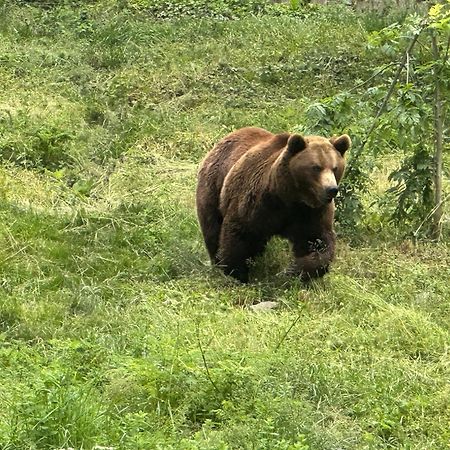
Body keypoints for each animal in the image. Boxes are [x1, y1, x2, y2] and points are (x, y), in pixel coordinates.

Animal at [195, 126, 350, 282]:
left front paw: (292, 271)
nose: (331, 189)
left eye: (335, 167)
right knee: (212, 225)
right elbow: (239, 231)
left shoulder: (311, 212)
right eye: (316, 167)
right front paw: (236, 272)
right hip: (213, 185)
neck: (289, 196)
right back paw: (217, 260)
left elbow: (318, 242)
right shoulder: (258, 202)